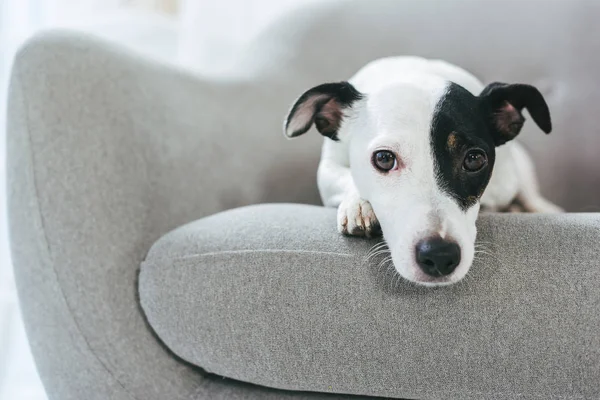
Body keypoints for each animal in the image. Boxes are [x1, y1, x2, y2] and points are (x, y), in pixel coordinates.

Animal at [284, 57, 560, 288]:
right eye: (383, 159)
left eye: (474, 159)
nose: (439, 256)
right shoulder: (327, 167)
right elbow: (344, 176)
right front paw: (358, 206)